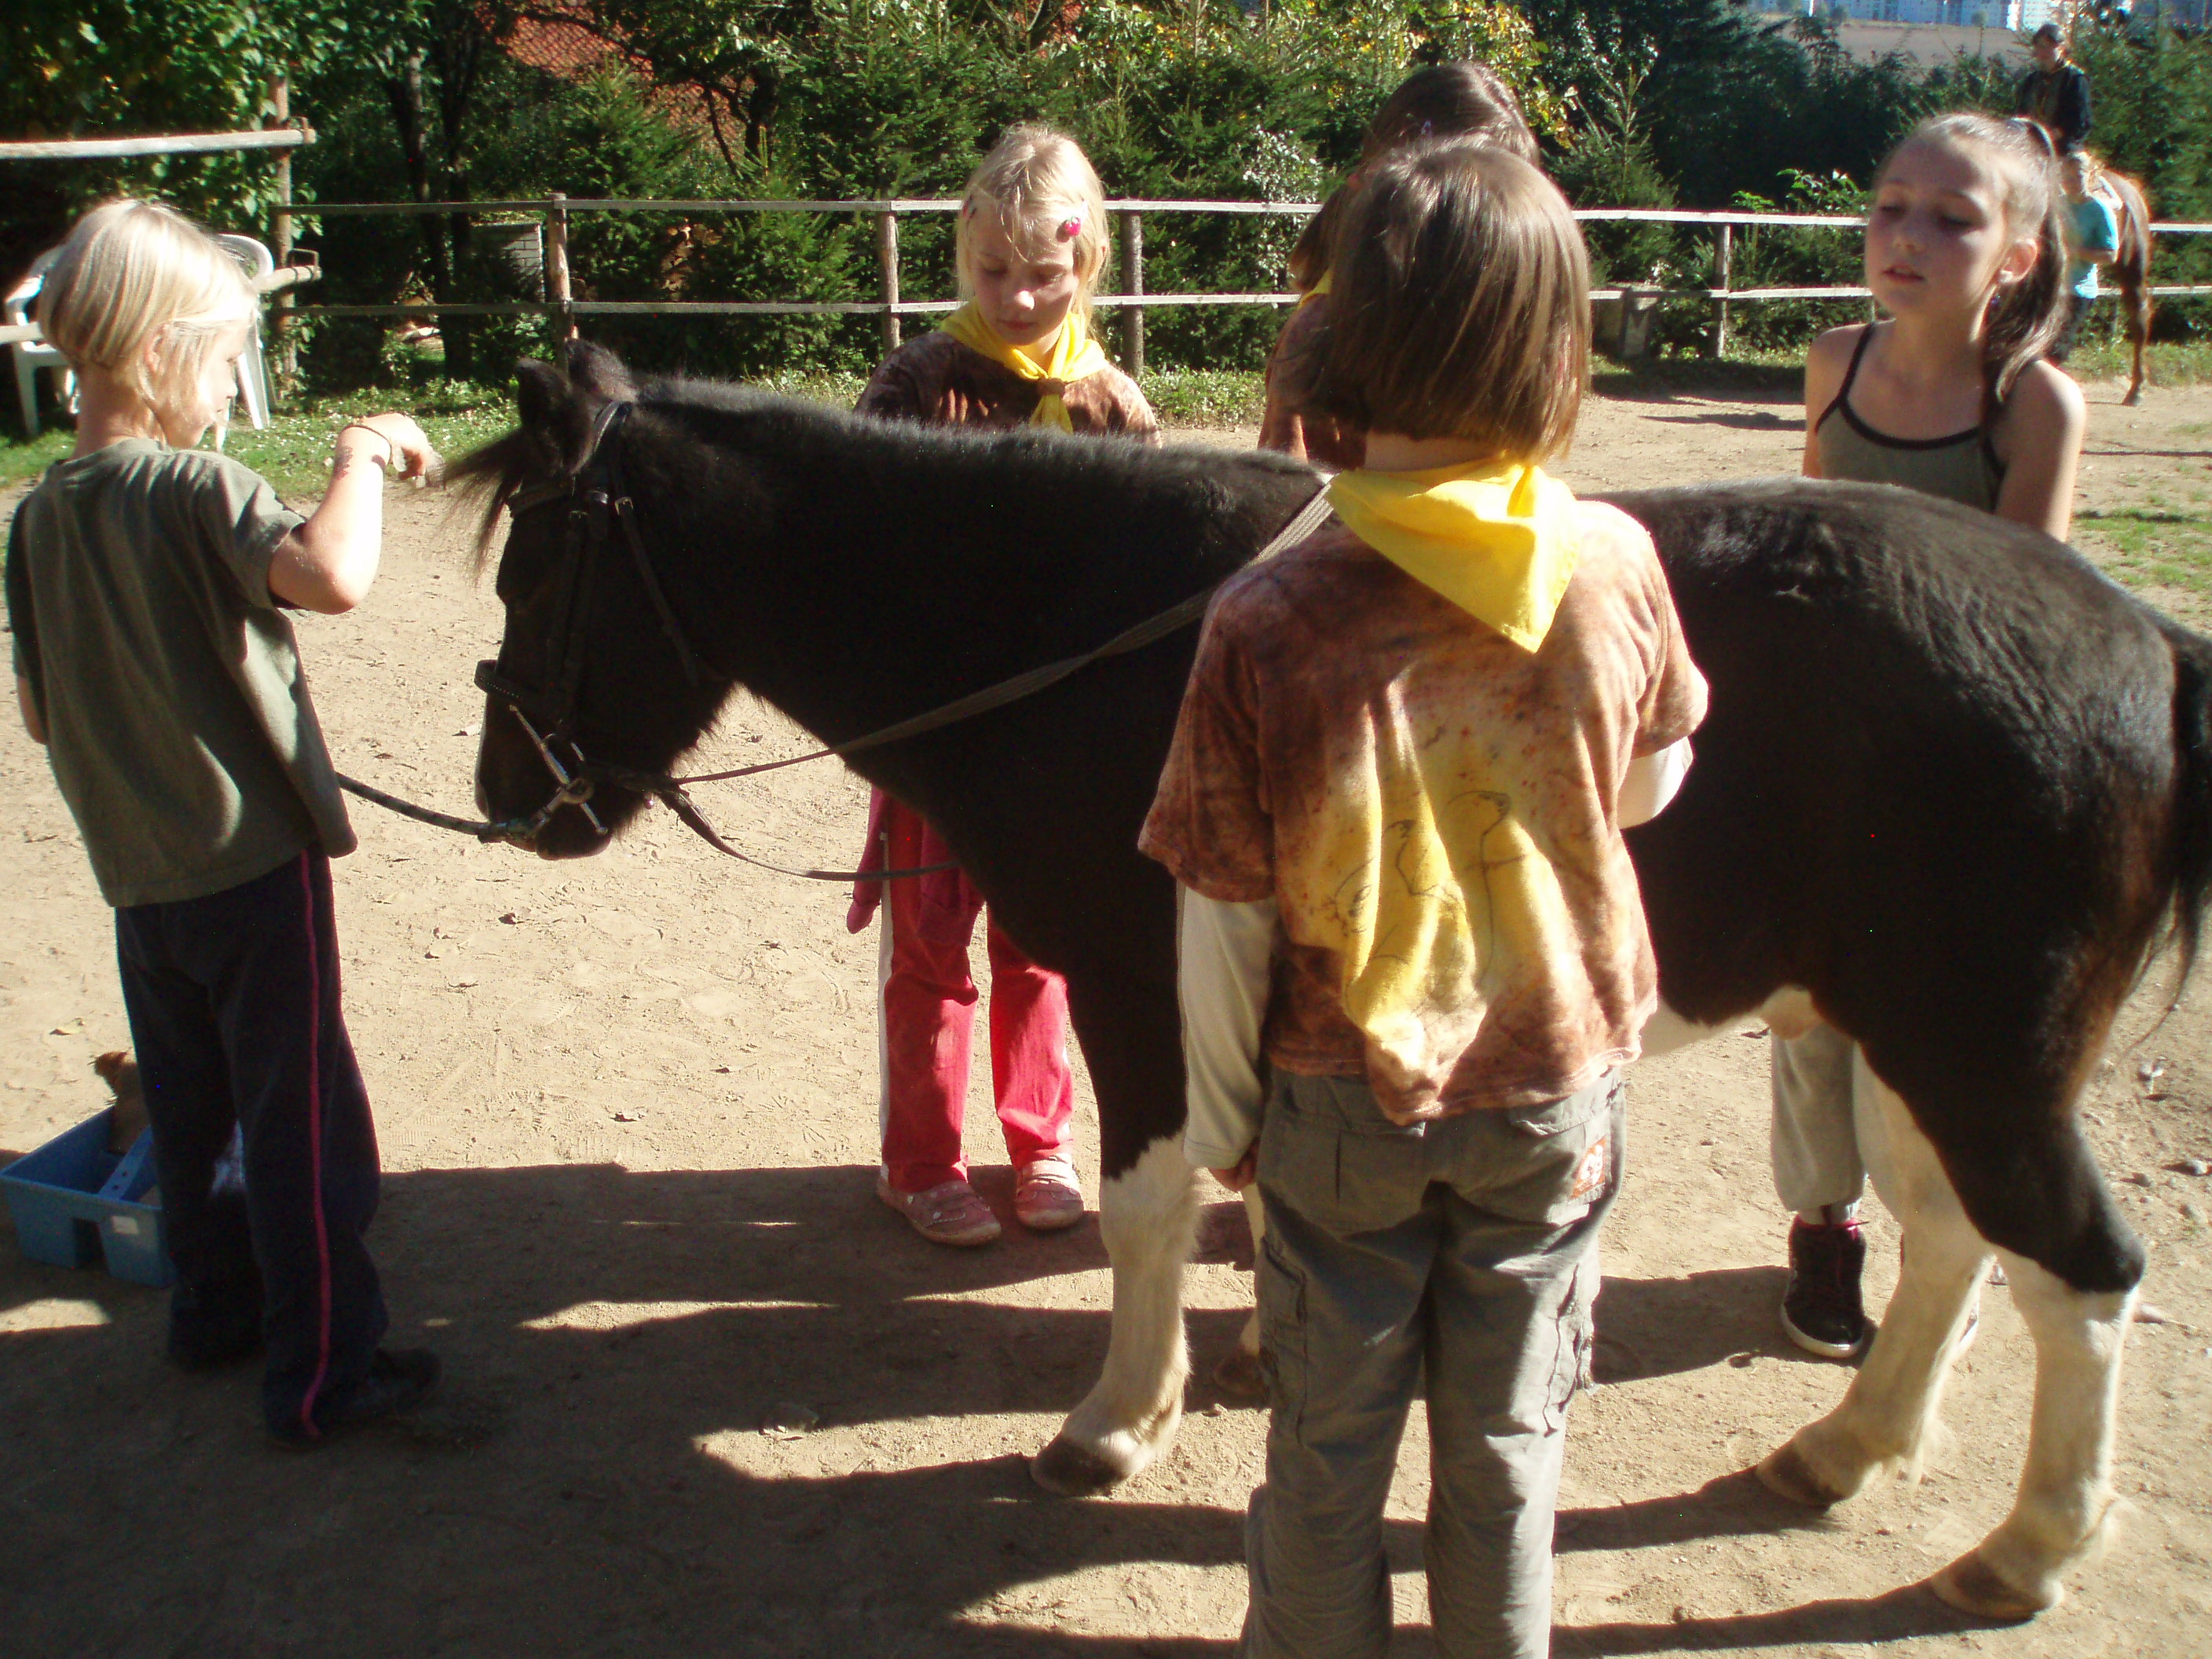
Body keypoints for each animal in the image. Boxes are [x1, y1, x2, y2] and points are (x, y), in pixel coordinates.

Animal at [457, 345, 2203, 1628]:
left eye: (537, 575)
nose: (507, 798)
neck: (1076, 622)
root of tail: (2139, 642)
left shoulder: (1139, 996)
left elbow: (1145, 1211)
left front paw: (1118, 1420)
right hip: (1908, 1047)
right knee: (1955, 1240)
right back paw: (1849, 1447)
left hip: (1978, 1061)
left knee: (2078, 1270)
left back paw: (2026, 1547)